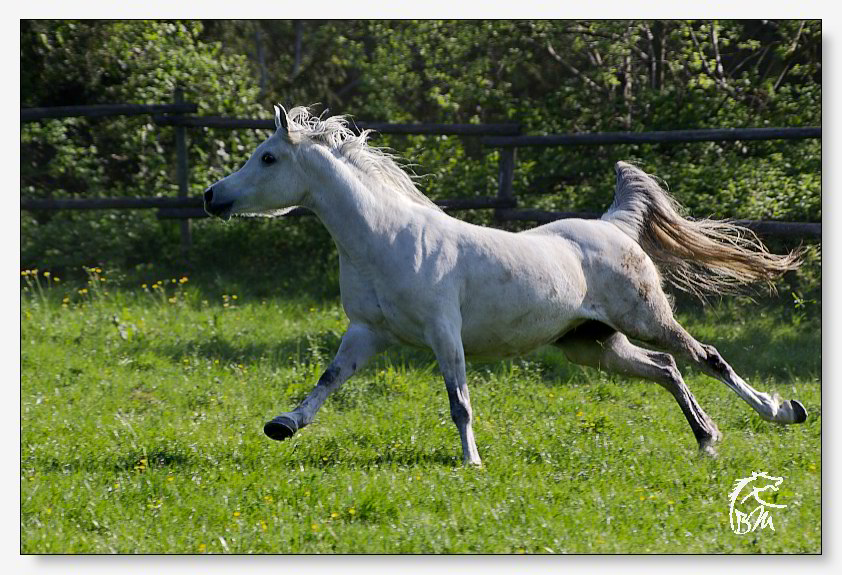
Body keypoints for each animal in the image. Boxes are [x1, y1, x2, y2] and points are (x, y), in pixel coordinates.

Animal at [202, 106, 800, 468]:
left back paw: (781, 412)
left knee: (706, 356)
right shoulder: (368, 331)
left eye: (269, 157)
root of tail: (613, 224)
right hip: (591, 343)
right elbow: (327, 380)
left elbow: (459, 401)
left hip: (646, 318)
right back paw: (707, 439)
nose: (212, 196)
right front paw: (283, 425)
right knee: (667, 368)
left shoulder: (444, 332)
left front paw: (471, 461)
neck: (382, 240)